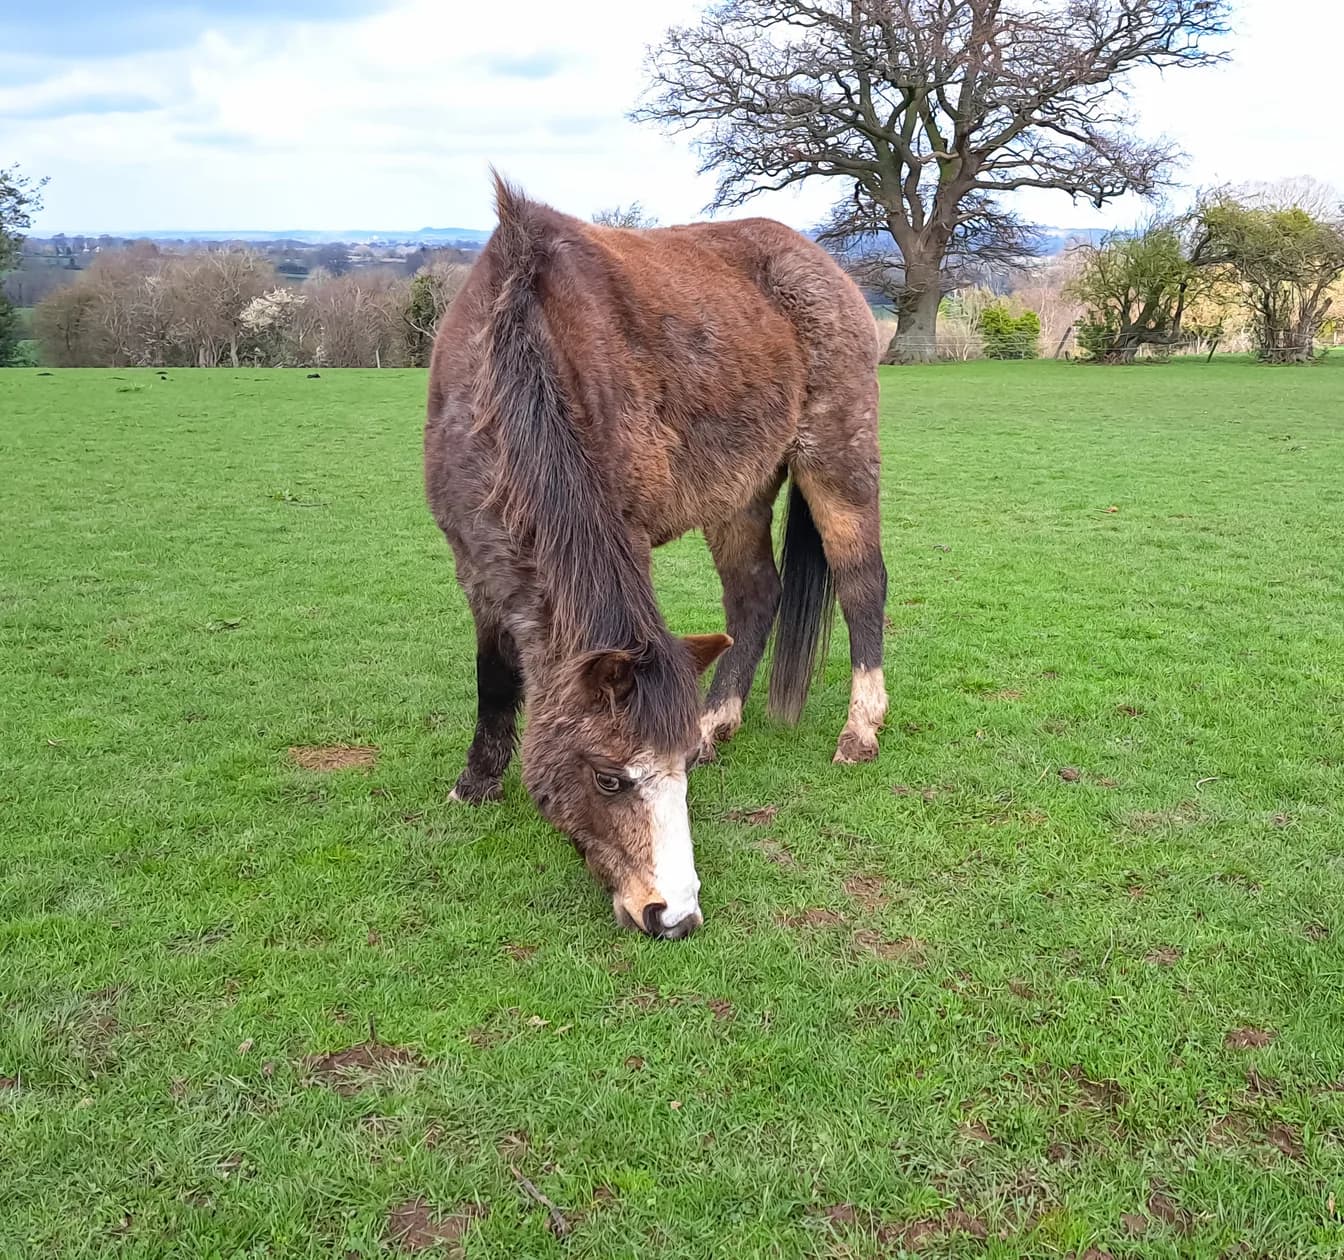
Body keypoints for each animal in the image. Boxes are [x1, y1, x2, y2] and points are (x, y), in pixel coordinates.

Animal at [424, 176, 887, 939]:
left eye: (682, 768)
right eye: (609, 777)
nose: (674, 915)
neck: (516, 354)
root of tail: (822, 265)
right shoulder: (475, 565)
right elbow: (494, 676)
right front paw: (475, 784)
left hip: (838, 460)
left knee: (862, 586)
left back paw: (860, 731)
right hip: (739, 493)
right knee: (755, 595)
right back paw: (720, 717)